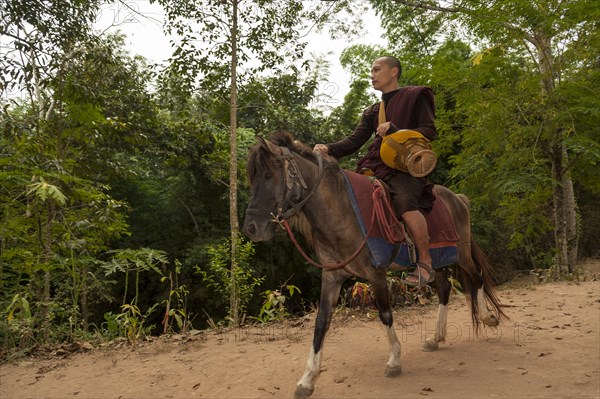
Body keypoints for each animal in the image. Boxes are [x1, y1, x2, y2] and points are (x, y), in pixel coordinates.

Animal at [243, 133, 506, 399]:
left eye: (268, 175)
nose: (251, 228)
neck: (342, 212)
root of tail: (458, 199)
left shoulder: (375, 273)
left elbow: (385, 314)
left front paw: (395, 361)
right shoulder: (332, 276)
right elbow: (321, 323)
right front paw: (307, 380)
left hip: (461, 254)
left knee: (476, 277)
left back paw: (487, 318)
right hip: (435, 266)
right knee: (444, 288)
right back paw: (435, 338)